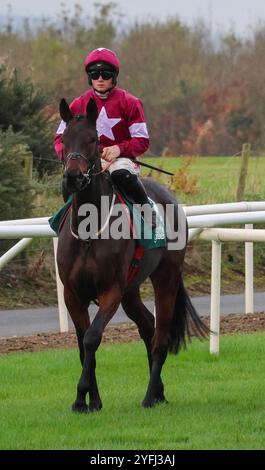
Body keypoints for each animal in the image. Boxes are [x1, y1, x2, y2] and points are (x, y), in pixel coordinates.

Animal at [56, 97, 207, 414]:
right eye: (64, 139)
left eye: (93, 139)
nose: (73, 177)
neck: (89, 231)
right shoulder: (72, 293)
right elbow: (81, 344)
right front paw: (91, 401)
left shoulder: (111, 289)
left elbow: (92, 338)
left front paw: (81, 395)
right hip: (132, 289)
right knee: (148, 326)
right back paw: (159, 392)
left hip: (165, 278)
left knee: (161, 337)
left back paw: (150, 397)